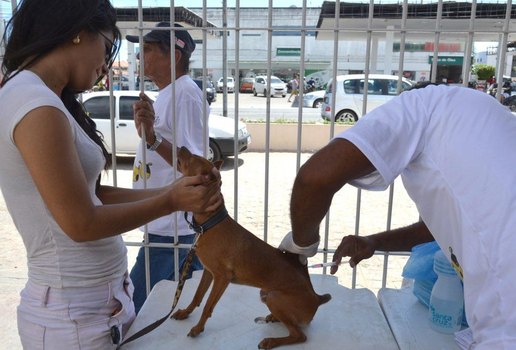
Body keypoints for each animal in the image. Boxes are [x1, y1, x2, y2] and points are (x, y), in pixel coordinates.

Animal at [171, 148, 332, 350]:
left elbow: (208, 306)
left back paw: (271, 341)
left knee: (300, 335)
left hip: (273, 296)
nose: (181, 148)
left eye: (194, 159)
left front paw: (198, 328)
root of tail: (316, 298)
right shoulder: (209, 272)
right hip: (266, 294)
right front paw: (185, 312)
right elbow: (197, 297)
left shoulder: (222, 278)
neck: (210, 224)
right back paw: (273, 317)